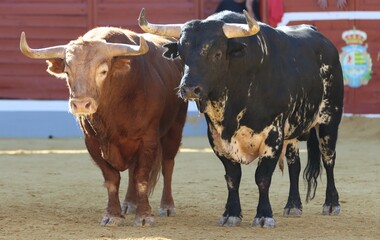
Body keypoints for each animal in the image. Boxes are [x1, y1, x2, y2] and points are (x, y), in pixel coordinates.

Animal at [20, 27, 188, 226]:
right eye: (68, 72)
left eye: (103, 71)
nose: (81, 104)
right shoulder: (92, 142)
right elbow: (112, 178)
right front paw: (113, 215)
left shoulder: (148, 140)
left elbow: (141, 178)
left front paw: (144, 216)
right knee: (133, 169)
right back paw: (129, 203)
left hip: (175, 128)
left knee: (167, 165)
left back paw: (167, 206)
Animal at [140, 9, 344, 227]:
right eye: (181, 53)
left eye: (217, 53)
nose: (188, 89)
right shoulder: (217, 138)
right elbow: (232, 177)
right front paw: (231, 213)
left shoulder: (273, 136)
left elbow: (262, 176)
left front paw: (264, 215)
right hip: (293, 132)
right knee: (294, 164)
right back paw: (293, 205)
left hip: (329, 121)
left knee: (329, 159)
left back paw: (331, 203)